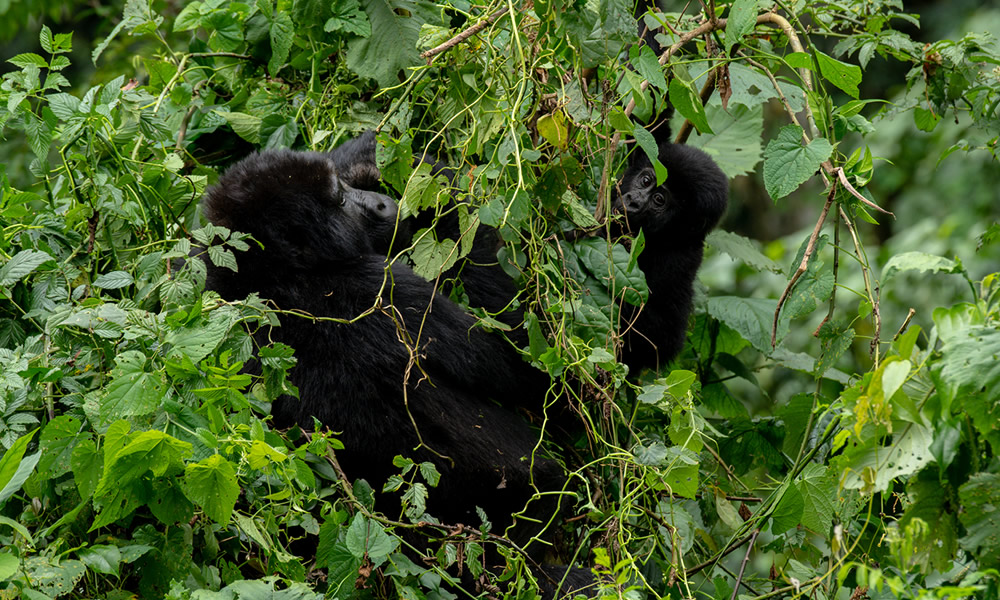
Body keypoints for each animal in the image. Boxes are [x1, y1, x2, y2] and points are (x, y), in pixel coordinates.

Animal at [203, 149, 592, 596]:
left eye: (343, 187)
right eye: (340, 200)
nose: (379, 203)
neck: (274, 272)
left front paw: (366, 154)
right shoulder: (378, 284)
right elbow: (531, 361)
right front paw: (442, 187)